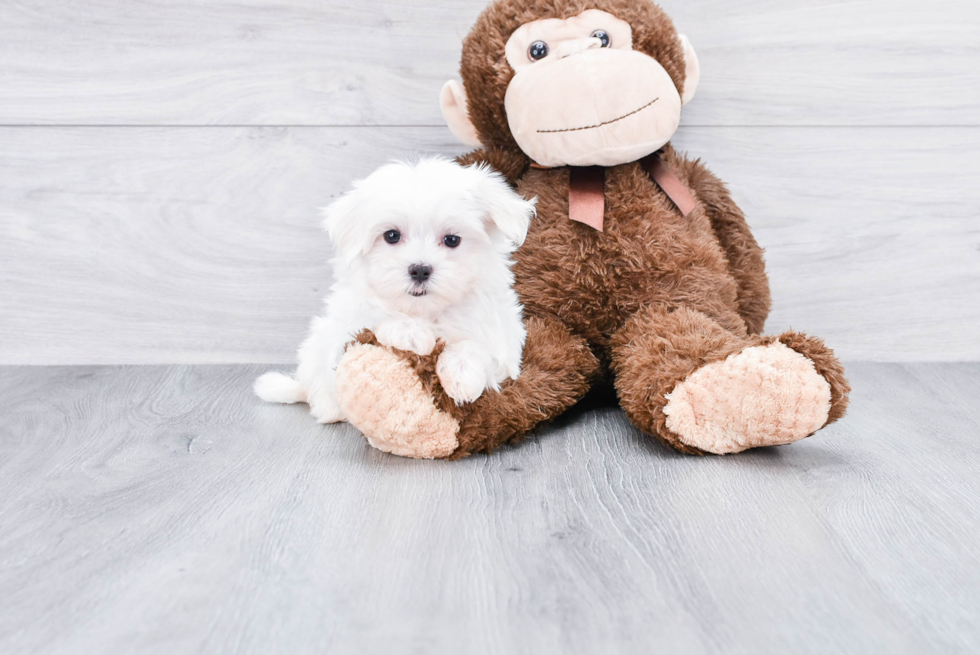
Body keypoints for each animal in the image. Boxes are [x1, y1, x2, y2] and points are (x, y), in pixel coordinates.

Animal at [255, 159, 536, 426]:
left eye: (452, 240)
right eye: (391, 236)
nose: (420, 270)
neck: (424, 311)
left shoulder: (505, 342)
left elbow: (478, 346)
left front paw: (462, 374)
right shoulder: (345, 330)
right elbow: (373, 320)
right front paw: (410, 333)